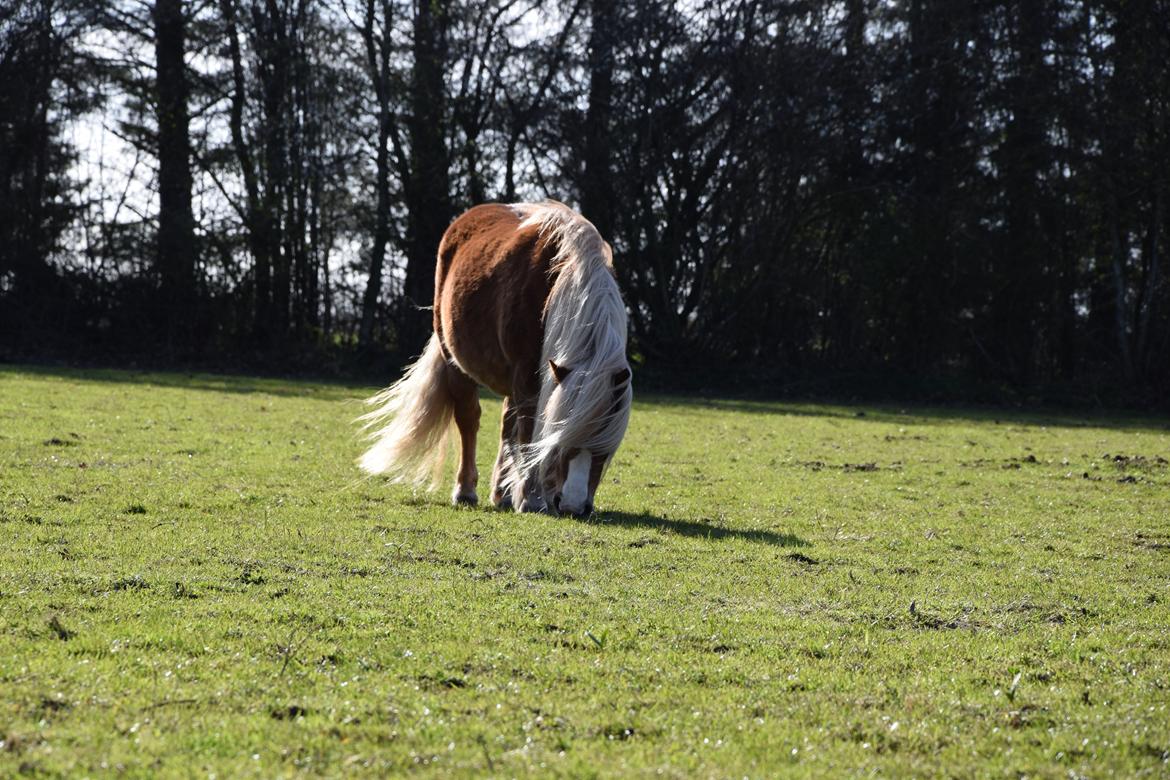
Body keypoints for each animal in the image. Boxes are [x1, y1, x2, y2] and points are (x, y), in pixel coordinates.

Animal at [355, 201, 631, 519]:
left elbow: (521, 431)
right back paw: (466, 491)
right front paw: (533, 499)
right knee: (469, 420)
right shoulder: (528, 377)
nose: (574, 507)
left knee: (506, 424)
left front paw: (528, 494)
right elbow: (528, 432)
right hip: (455, 361)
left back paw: (503, 493)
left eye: (603, 447)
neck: (561, 277)